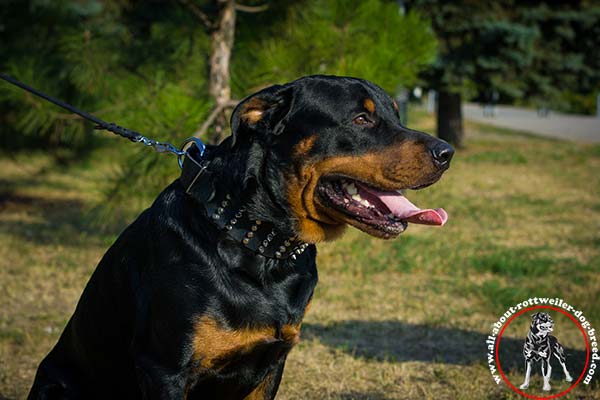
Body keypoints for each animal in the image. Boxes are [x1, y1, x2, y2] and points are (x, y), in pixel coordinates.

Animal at [27, 76, 450, 400]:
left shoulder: (270, 367)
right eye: (361, 119)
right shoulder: (164, 370)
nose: (447, 152)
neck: (258, 241)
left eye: (395, 115)